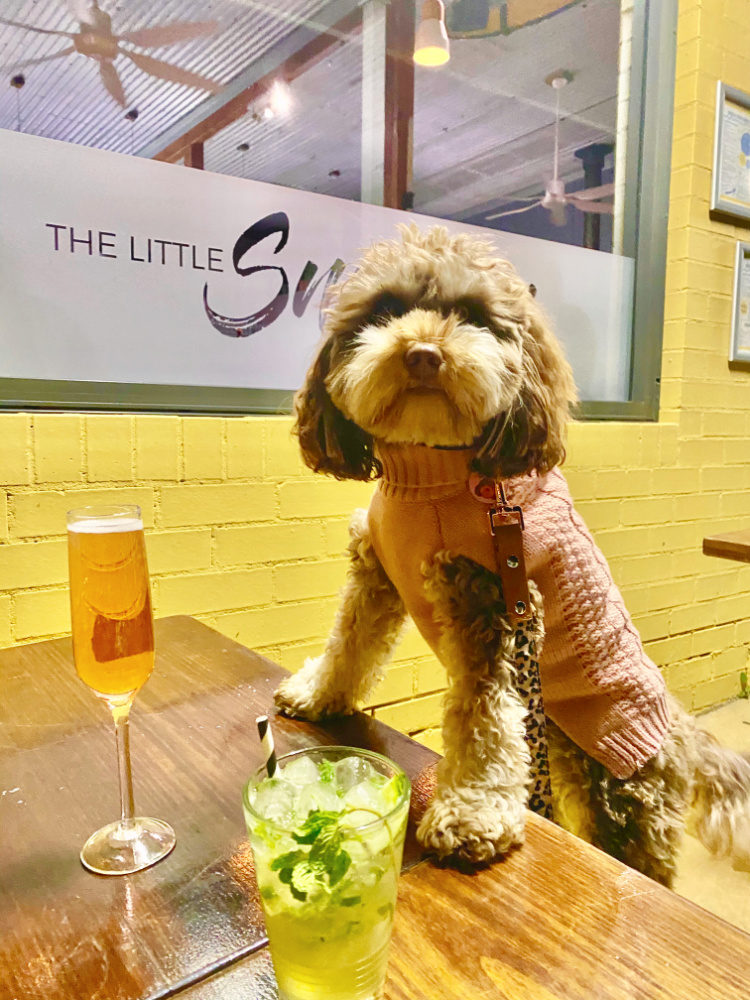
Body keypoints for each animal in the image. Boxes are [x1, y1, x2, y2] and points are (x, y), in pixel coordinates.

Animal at [276, 225, 750, 884]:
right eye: (385, 309)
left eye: (474, 316)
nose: (423, 353)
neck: (433, 473)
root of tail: (683, 734)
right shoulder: (377, 572)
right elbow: (350, 642)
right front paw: (316, 694)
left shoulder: (492, 604)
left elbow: (482, 722)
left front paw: (472, 813)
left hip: (625, 804)